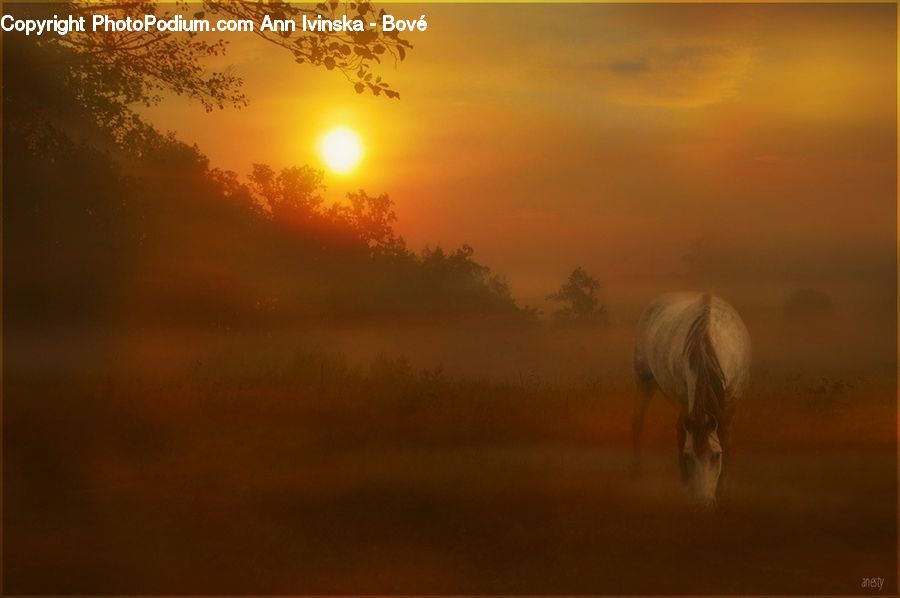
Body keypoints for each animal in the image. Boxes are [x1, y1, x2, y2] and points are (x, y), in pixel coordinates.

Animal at [632, 292, 751, 509]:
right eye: (688, 456)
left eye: (716, 455)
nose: (703, 505)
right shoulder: (685, 398)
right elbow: (682, 431)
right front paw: (686, 481)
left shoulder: (731, 400)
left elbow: (725, 435)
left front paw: (724, 485)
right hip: (644, 379)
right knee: (639, 419)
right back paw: (635, 468)